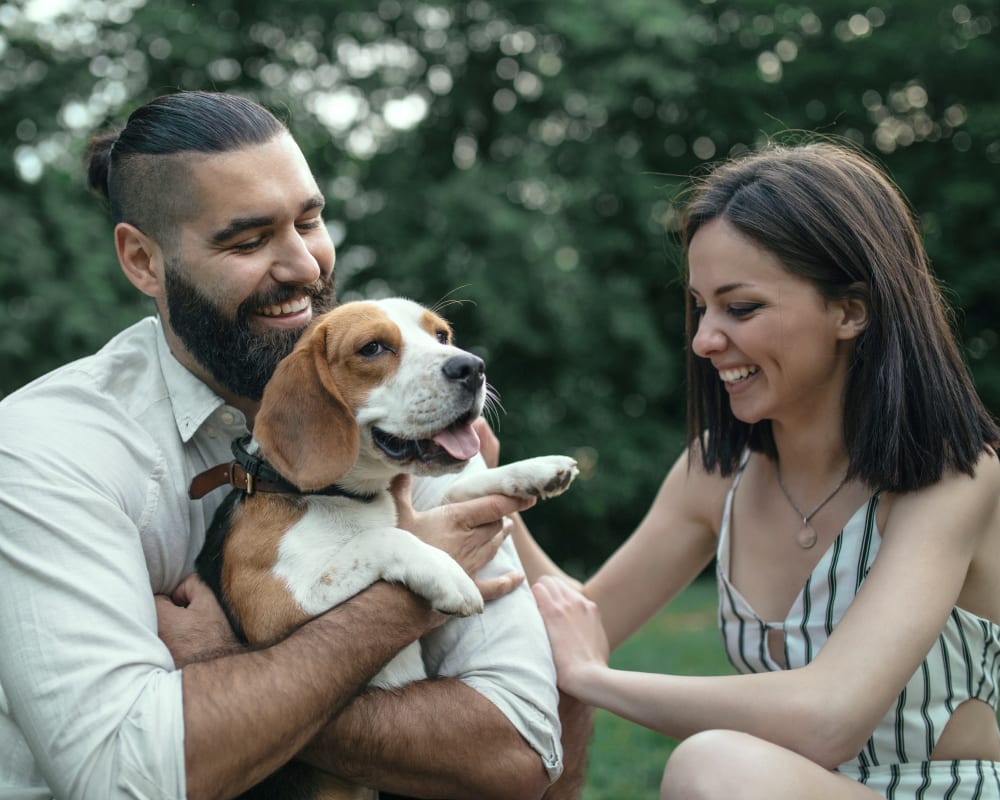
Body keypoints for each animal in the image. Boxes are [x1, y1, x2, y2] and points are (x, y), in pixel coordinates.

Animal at [192, 296, 580, 796]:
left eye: (441, 336)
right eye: (373, 348)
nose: (472, 367)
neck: (341, 496)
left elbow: (456, 493)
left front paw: (535, 469)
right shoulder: (271, 605)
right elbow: (384, 536)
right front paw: (449, 575)